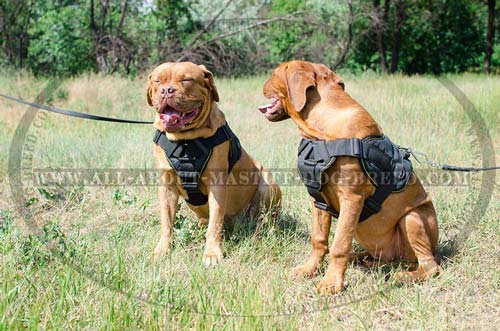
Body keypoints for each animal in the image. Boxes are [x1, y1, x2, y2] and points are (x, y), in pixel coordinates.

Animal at [147, 62, 282, 268]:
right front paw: (162, 250)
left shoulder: (217, 186)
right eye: (157, 81)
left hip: (268, 183)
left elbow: (215, 223)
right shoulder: (166, 187)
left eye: (186, 80)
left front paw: (212, 253)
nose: (166, 91)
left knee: (268, 217)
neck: (185, 141)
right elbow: (166, 222)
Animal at [260, 61, 440, 296]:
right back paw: (362, 260)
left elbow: (339, 245)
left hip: (413, 218)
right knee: (382, 258)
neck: (322, 132)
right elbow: (318, 239)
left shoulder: (351, 198)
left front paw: (331, 282)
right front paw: (309, 269)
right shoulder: (318, 199)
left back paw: (403, 276)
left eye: (274, 74)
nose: (261, 84)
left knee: (430, 266)